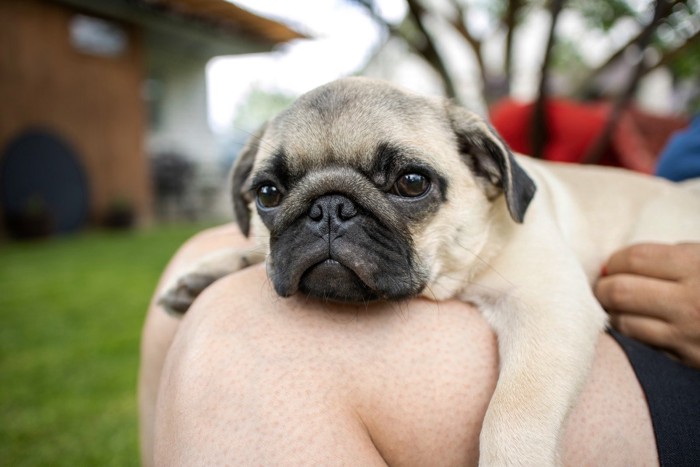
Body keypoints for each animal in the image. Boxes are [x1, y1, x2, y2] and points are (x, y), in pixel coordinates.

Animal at [159, 78, 700, 466]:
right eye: (268, 193)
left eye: (411, 182)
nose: (328, 207)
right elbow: (255, 252)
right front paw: (205, 272)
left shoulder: (551, 307)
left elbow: (513, 411)